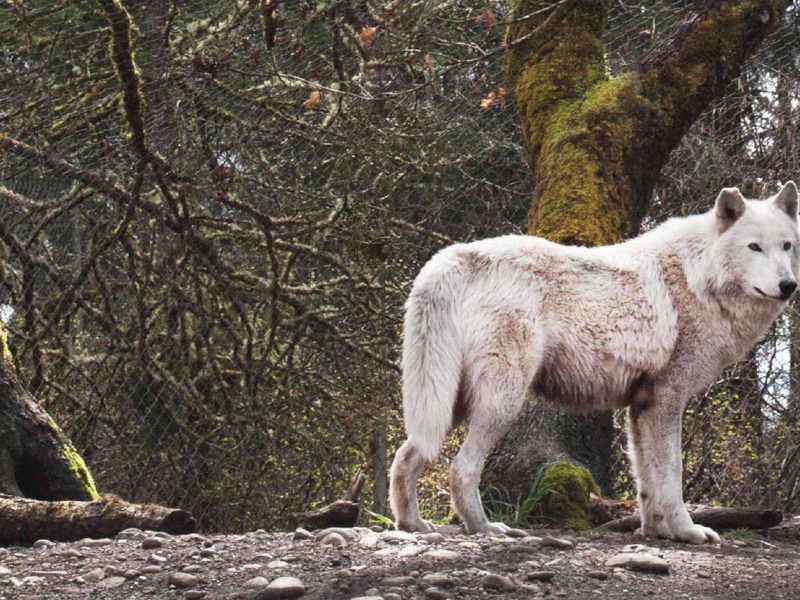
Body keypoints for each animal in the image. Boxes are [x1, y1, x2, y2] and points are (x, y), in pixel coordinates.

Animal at [390, 182, 800, 544]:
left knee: (405, 456)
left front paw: (656, 532)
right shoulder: (666, 400)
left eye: (786, 246)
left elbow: (647, 481)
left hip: (447, 404)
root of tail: (452, 258)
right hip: (499, 403)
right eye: (754, 247)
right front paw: (688, 532)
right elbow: (672, 475)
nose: (788, 285)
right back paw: (485, 529)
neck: (698, 278)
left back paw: (413, 524)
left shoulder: (641, 406)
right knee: (460, 468)